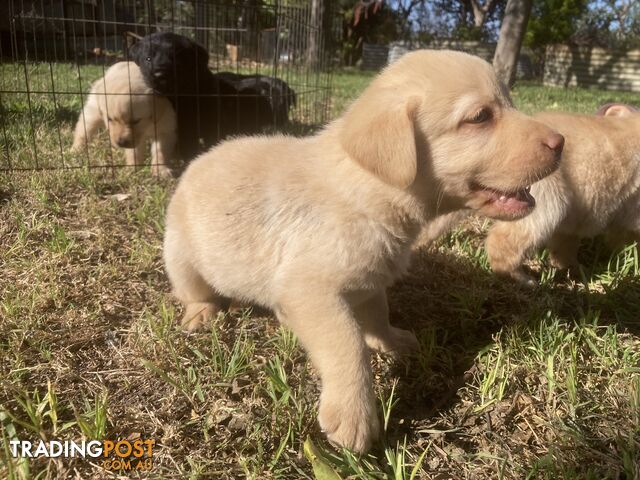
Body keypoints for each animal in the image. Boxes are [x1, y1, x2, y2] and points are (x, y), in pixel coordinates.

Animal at [162, 50, 564, 452]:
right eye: (480, 116)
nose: (561, 141)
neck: (366, 193)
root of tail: (197, 161)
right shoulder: (310, 291)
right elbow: (348, 344)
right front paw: (353, 415)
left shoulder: (372, 278)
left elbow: (377, 313)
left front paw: (390, 341)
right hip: (180, 256)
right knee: (194, 291)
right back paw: (201, 314)